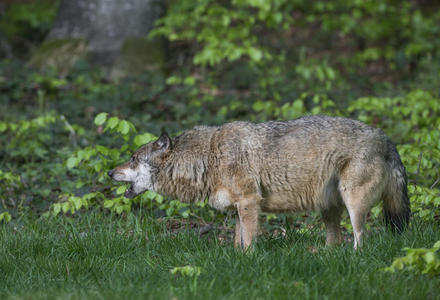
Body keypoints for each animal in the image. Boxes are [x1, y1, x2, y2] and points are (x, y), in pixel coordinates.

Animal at [108, 116, 410, 250]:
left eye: (132, 159)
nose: (110, 172)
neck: (208, 157)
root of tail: (387, 138)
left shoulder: (250, 201)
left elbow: (250, 241)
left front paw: (250, 260)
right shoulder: (239, 208)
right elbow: (237, 241)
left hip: (352, 203)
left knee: (361, 238)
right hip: (328, 207)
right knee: (334, 240)